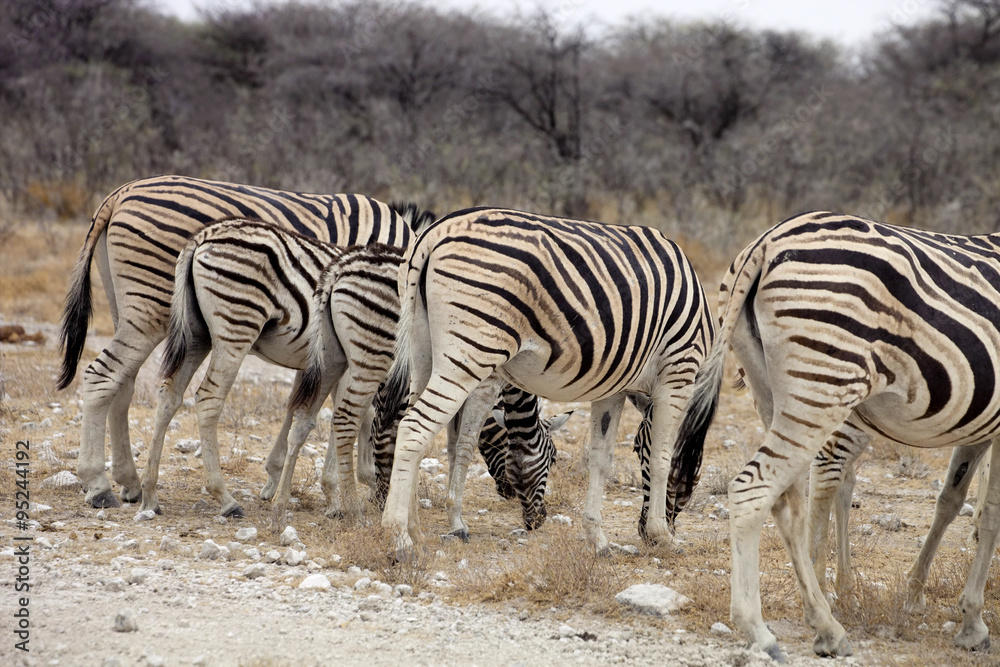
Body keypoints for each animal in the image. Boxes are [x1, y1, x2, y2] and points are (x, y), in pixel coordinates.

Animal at [57, 175, 414, 510]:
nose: (383, 498)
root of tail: (119, 193)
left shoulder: (319, 346)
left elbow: (300, 404)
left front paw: (277, 477)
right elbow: (354, 409)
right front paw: (342, 485)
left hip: (136, 311)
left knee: (126, 383)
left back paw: (131, 483)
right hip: (153, 308)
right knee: (105, 377)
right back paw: (100, 484)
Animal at [374, 207, 714, 552]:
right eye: (636, 448)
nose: (645, 530)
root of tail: (434, 232)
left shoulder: (614, 388)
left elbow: (600, 457)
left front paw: (598, 538)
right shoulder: (678, 372)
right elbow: (661, 457)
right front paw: (663, 535)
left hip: (422, 350)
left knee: (413, 423)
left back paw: (415, 529)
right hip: (470, 352)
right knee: (414, 427)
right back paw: (398, 537)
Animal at [670, 211, 1000, 661]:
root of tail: (766, 242)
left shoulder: (982, 425)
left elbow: (956, 501)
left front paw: (926, 598)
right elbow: (991, 513)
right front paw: (973, 623)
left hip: (772, 391)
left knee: (789, 504)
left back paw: (826, 625)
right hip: (824, 384)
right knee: (757, 488)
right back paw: (759, 629)